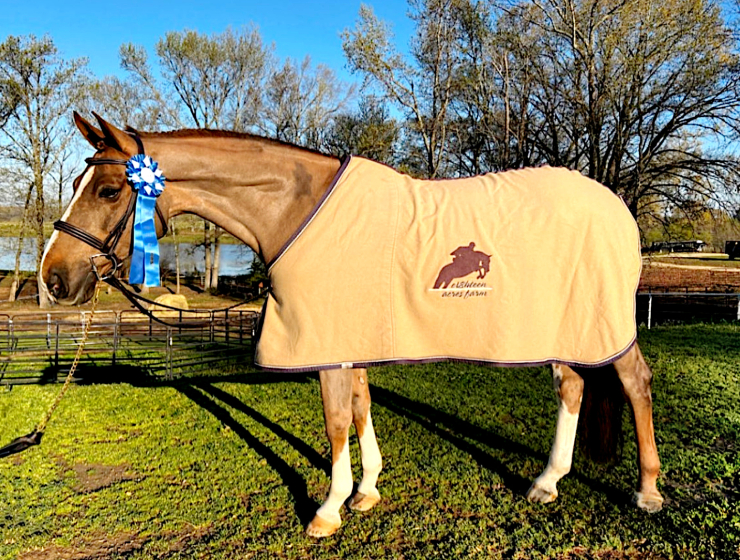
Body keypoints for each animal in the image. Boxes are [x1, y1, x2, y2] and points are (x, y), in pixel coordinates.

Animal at [40, 113, 664, 538]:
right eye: (76, 185)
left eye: (110, 190)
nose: (53, 278)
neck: (297, 210)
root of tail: (617, 208)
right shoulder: (350, 336)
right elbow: (362, 407)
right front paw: (366, 491)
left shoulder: (327, 342)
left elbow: (337, 420)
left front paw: (328, 510)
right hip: (565, 326)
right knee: (572, 387)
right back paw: (547, 482)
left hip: (602, 324)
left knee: (634, 382)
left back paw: (648, 490)